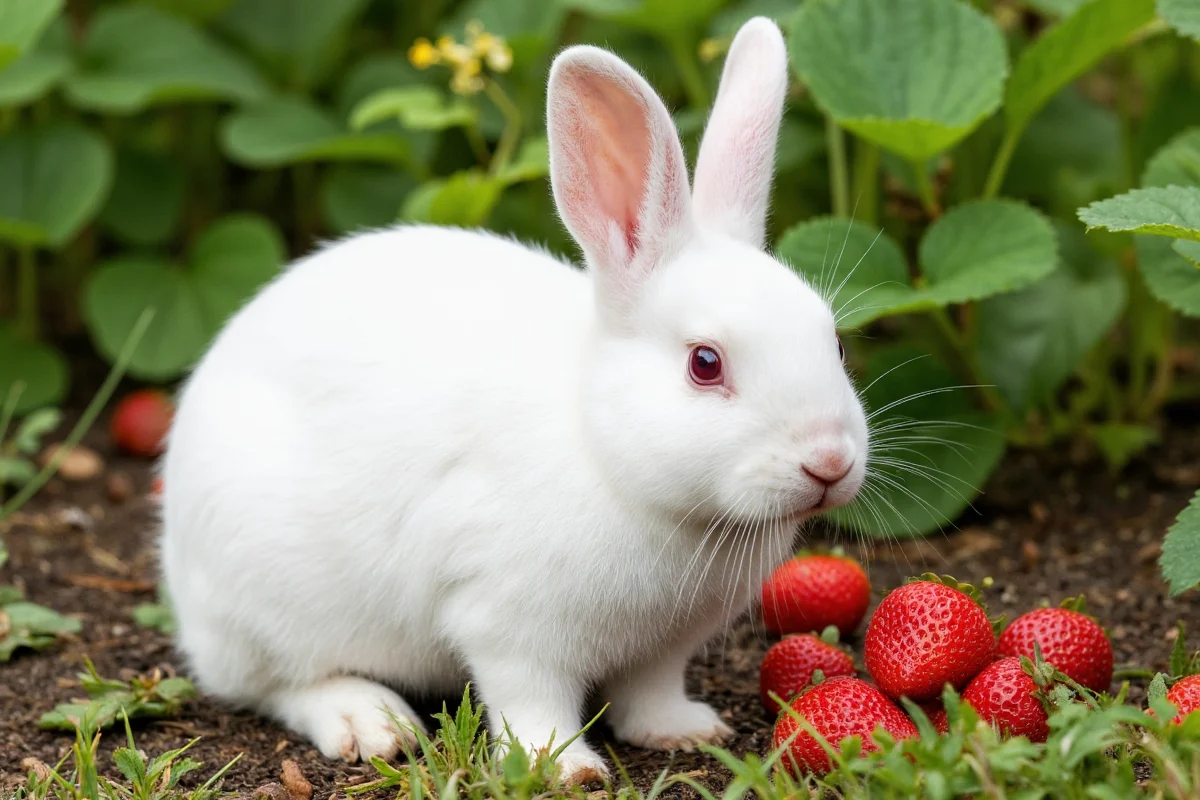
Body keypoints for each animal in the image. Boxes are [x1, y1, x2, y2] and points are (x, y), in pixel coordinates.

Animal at [159, 16, 869, 785]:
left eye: (835, 343)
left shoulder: (665, 647)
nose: (829, 462)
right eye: (704, 364)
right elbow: (531, 700)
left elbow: (650, 693)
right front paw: (564, 769)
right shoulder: (507, 625)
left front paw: (684, 732)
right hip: (267, 598)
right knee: (276, 684)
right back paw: (370, 723)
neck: (612, 462)